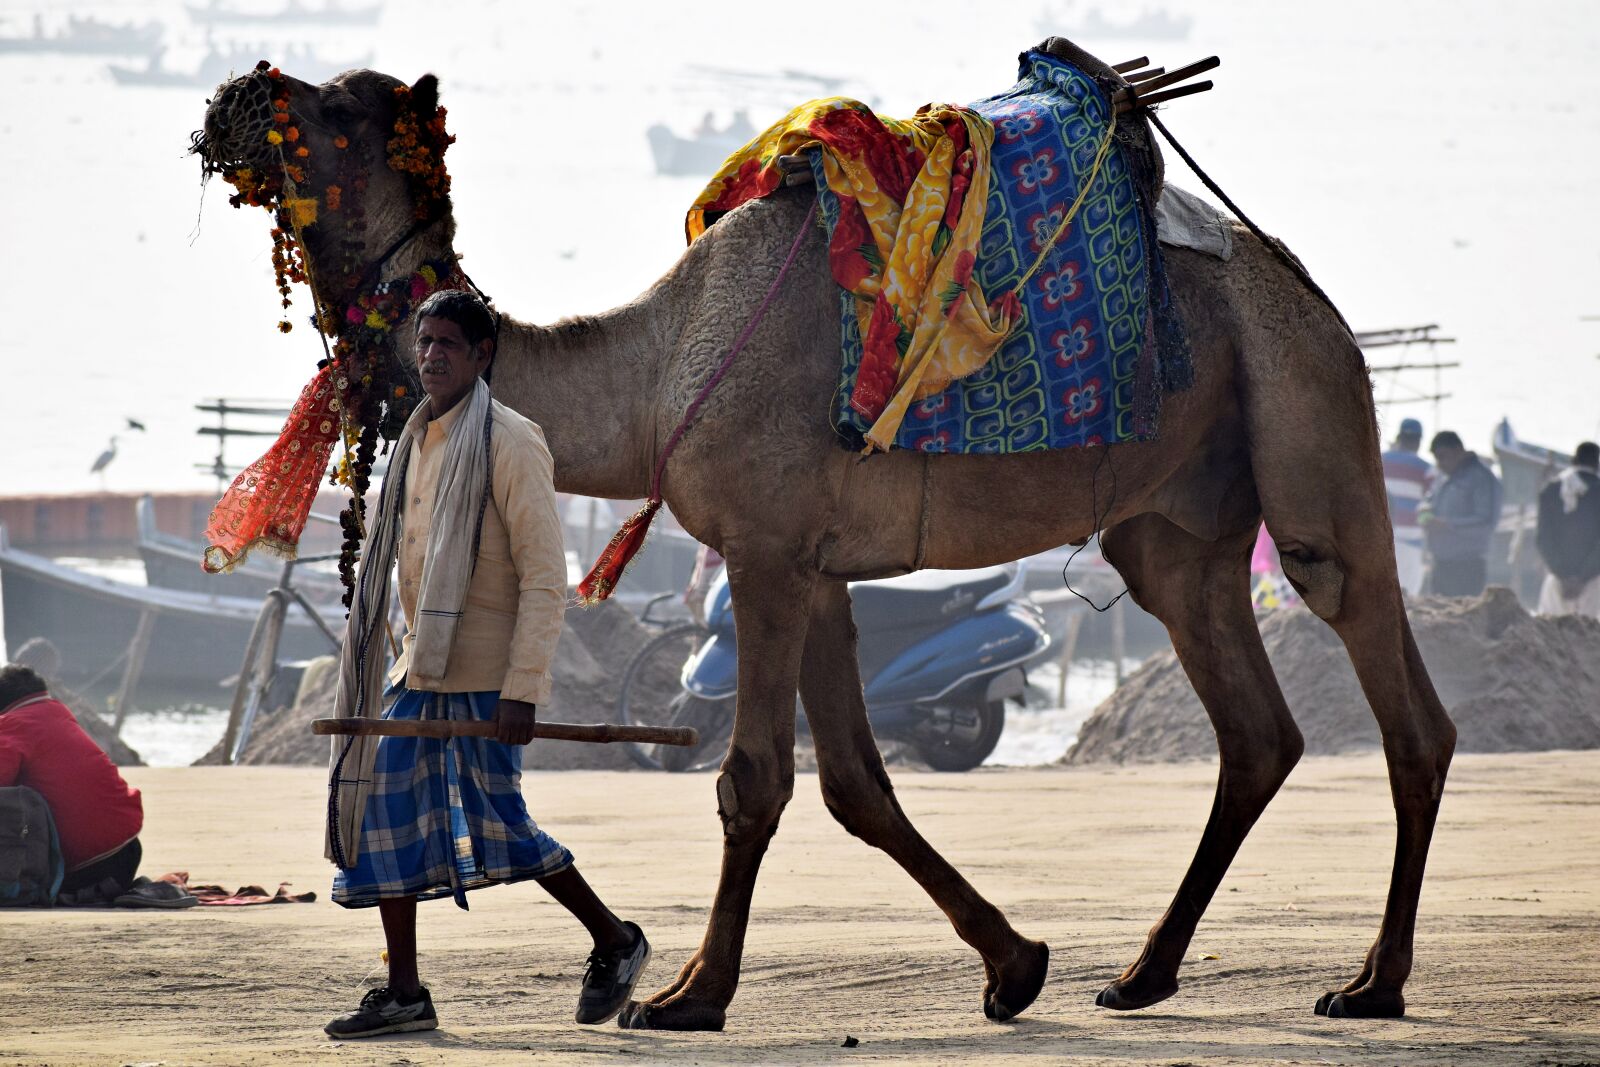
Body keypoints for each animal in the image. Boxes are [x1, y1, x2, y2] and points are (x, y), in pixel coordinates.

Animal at [194, 41, 1456, 1031]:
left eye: (337, 112)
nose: (239, 92)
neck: (655, 370)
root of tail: (1305, 285)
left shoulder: (762, 548)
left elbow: (752, 776)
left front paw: (688, 994)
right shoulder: (819, 566)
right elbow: (857, 781)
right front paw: (1015, 964)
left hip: (1305, 414)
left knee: (1398, 695)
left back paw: (1374, 981)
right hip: (1176, 526)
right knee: (1253, 727)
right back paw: (1142, 972)